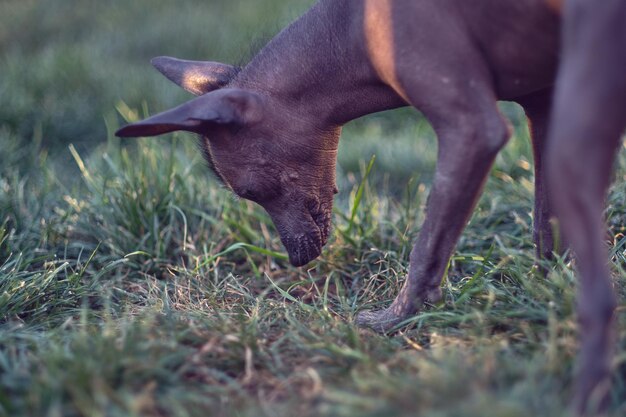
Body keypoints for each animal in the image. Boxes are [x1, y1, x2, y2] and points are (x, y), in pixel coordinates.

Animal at [116, 0, 620, 412]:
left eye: (249, 192)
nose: (295, 260)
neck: (351, 26)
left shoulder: (472, 130)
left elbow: (428, 247)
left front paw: (397, 319)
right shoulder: (541, 104)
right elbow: (544, 229)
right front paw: (544, 293)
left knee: (600, 299)